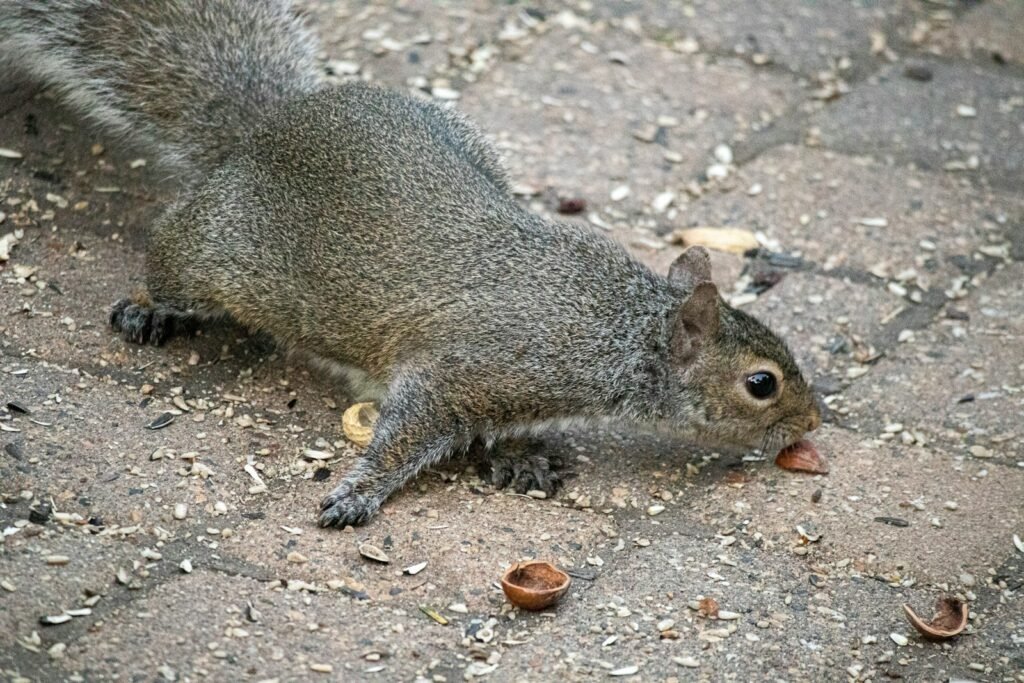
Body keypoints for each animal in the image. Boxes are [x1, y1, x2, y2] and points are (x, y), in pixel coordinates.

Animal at [1, 0, 822, 527]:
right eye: (762, 383)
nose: (813, 421)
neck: (616, 330)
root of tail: (270, 123)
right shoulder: (466, 369)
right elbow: (406, 429)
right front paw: (357, 493)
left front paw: (521, 455)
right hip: (224, 254)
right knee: (173, 243)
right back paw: (149, 304)